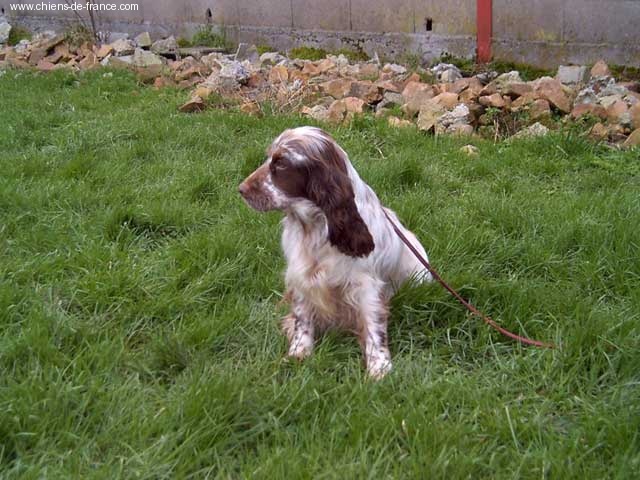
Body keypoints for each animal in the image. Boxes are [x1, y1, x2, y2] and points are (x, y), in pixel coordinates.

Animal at [239, 126, 432, 378]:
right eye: (269, 157)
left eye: (281, 164)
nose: (241, 190)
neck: (314, 229)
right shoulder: (301, 277)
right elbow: (302, 319)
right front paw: (298, 353)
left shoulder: (367, 286)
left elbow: (374, 326)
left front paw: (379, 367)